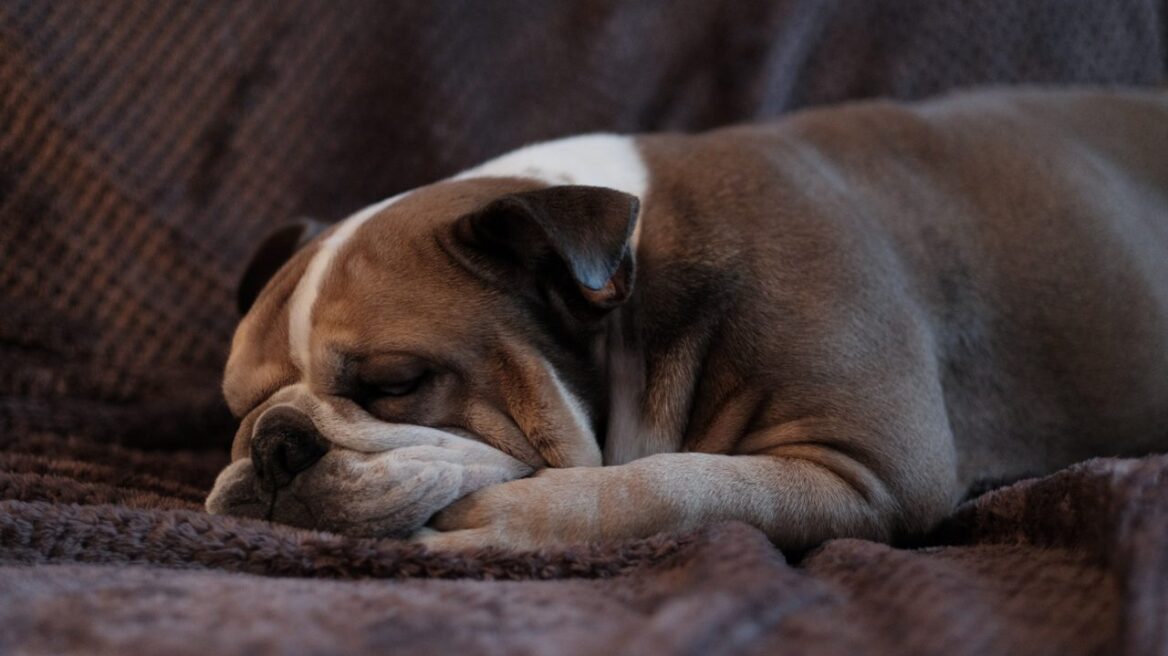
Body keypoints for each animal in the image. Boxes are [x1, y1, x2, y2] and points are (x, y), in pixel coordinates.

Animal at [210, 84, 1168, 548]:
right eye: (236, 408)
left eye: (396, 383)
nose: (275, 440)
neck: (638, 294)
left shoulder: (870, 471)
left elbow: (675, 486)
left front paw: (506, 521)